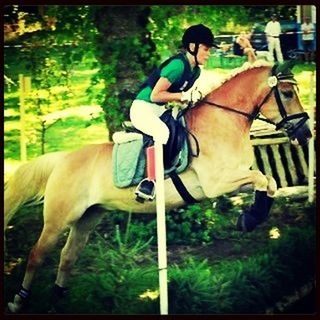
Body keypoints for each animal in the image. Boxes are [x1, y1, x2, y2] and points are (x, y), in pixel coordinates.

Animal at [4, 58, 310, 312]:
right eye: (286, 93)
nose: (305, 133)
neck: (223, 121)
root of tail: (63, 158)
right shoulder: (217, 183)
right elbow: (262, 179)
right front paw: (250, 218)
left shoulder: (233, 181)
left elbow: (268, 182)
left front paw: (250, 218)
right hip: (58, 219)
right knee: (37, 254)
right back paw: (19, 301)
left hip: (88, 218)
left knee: (68, 256)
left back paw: (58, 300)